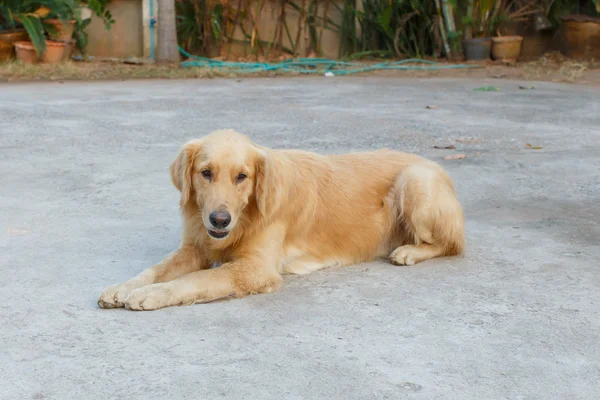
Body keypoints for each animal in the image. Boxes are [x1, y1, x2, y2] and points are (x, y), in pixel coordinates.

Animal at [98, 130, 464, 310]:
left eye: (242, 176)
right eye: (206, 173)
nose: (219, 220)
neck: (245, 217)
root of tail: (437, 167)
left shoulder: (255, 269)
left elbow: (194, 280)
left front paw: (150, 295)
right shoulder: (195, 248)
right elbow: (155, 270)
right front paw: (122, 288)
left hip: (415, 181)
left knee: (452, 245)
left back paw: (409, 251)